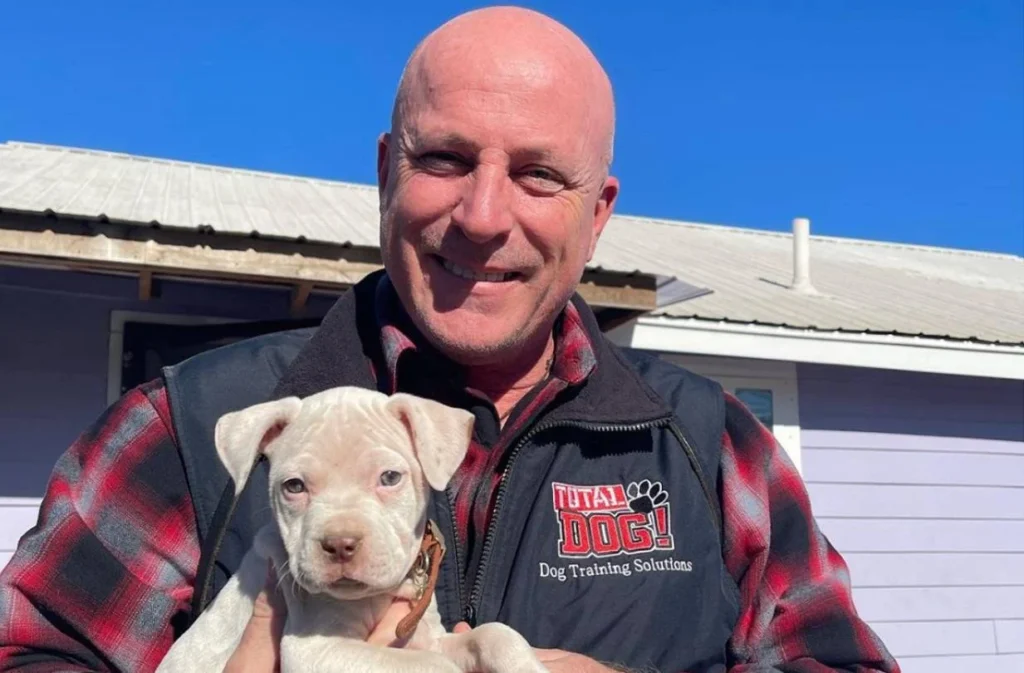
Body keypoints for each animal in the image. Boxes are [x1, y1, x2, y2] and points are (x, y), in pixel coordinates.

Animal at [155, 383, 548, 671]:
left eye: (390, 478)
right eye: (294, 486)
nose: (340, 544)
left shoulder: (428, 635)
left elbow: (494, 635)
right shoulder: (317, 649)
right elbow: (431, 665)